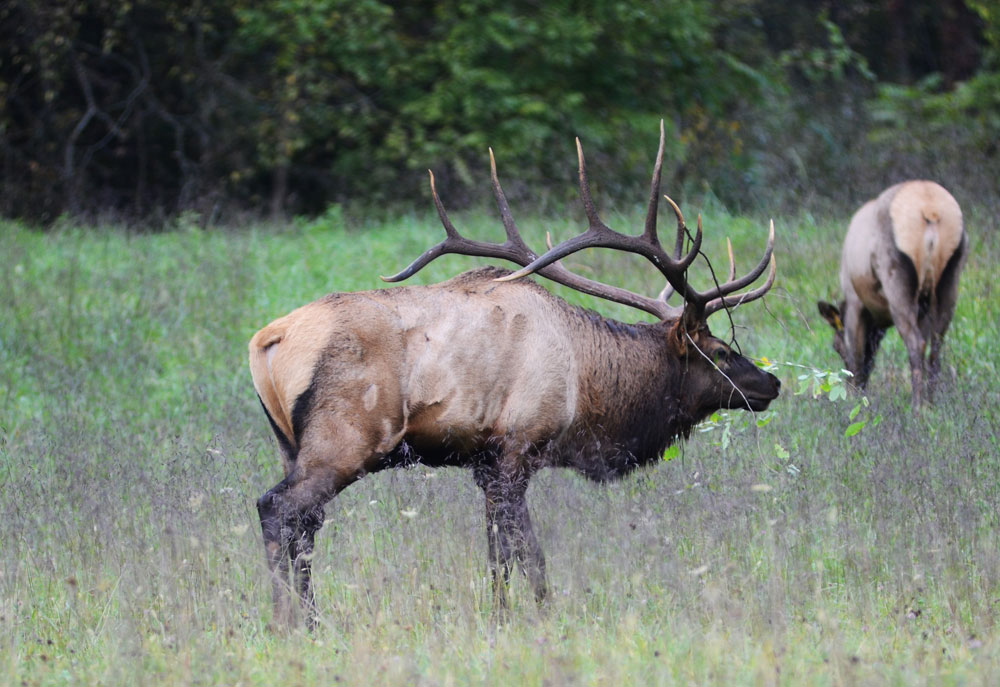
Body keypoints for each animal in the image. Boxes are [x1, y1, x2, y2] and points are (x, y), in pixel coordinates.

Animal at [248, 125, 780, 628]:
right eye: (720, 351)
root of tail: (267, 338)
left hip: (290, 445)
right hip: (344, 441)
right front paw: (527, 619)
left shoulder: (485, 461)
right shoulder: (518, 447)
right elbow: (520, 553)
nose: (771, 384)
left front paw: (517, 616)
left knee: (303, 525)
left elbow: (508, 554)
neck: (587, 386)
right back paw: (289, 621)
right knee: (278, 509)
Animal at [816, 180, 964, 406]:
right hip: (949, 281)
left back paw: (917, 406)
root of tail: (930, 210)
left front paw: (855, 401)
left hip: (896, 282)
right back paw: (931, 403)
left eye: (836, 346)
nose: (854, 389)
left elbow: (858, 357)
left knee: (916, 345)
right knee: (935, 348)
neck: (877, 320)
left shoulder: (855, 301)